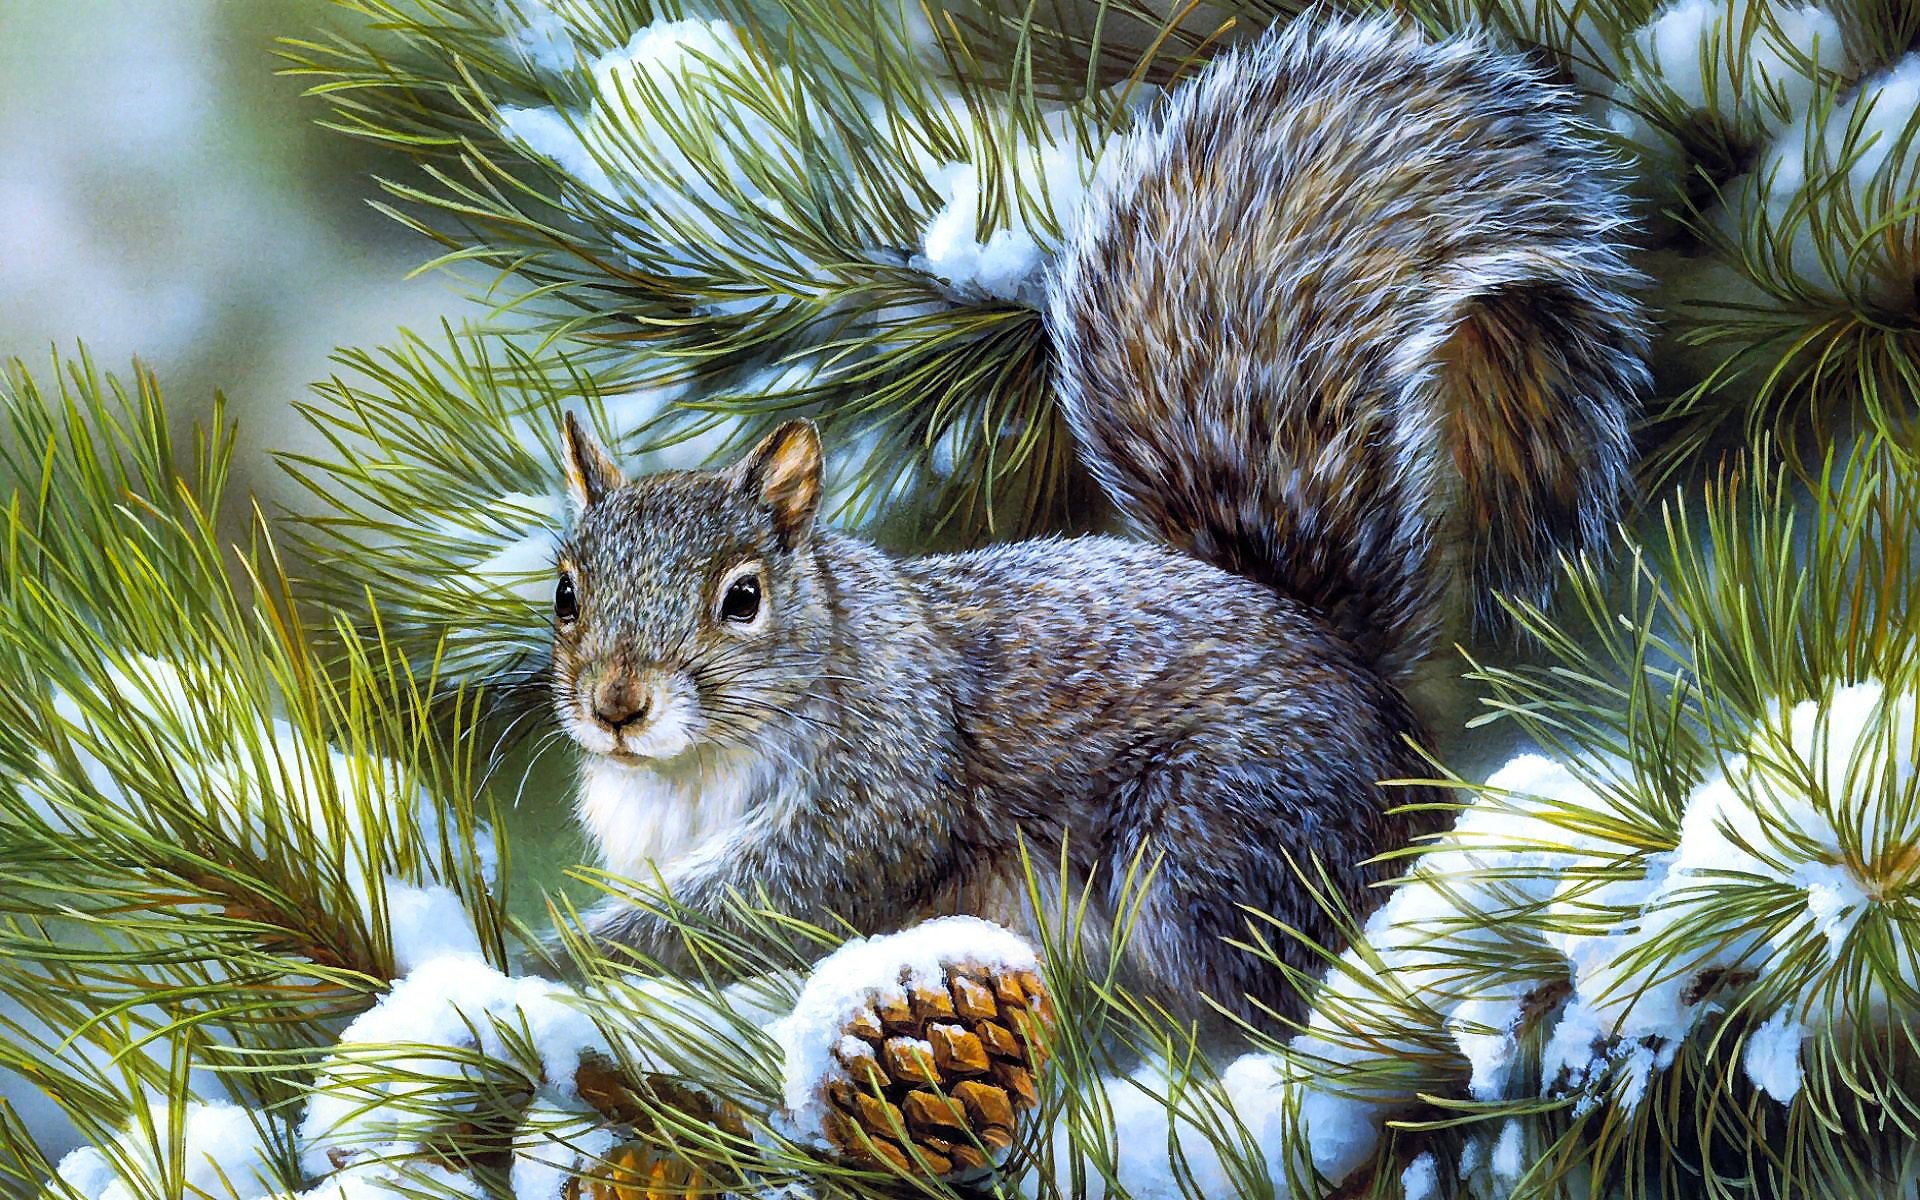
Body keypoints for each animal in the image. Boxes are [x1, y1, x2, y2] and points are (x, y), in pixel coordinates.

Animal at [549, 14, 1648, 1032]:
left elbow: (773, 900)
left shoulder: (885, 779)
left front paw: (575, 956)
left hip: (1215, 842)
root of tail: (1379, 710)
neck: (689, 769)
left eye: (743, 598)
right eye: (565, 594)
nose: (617, 706)